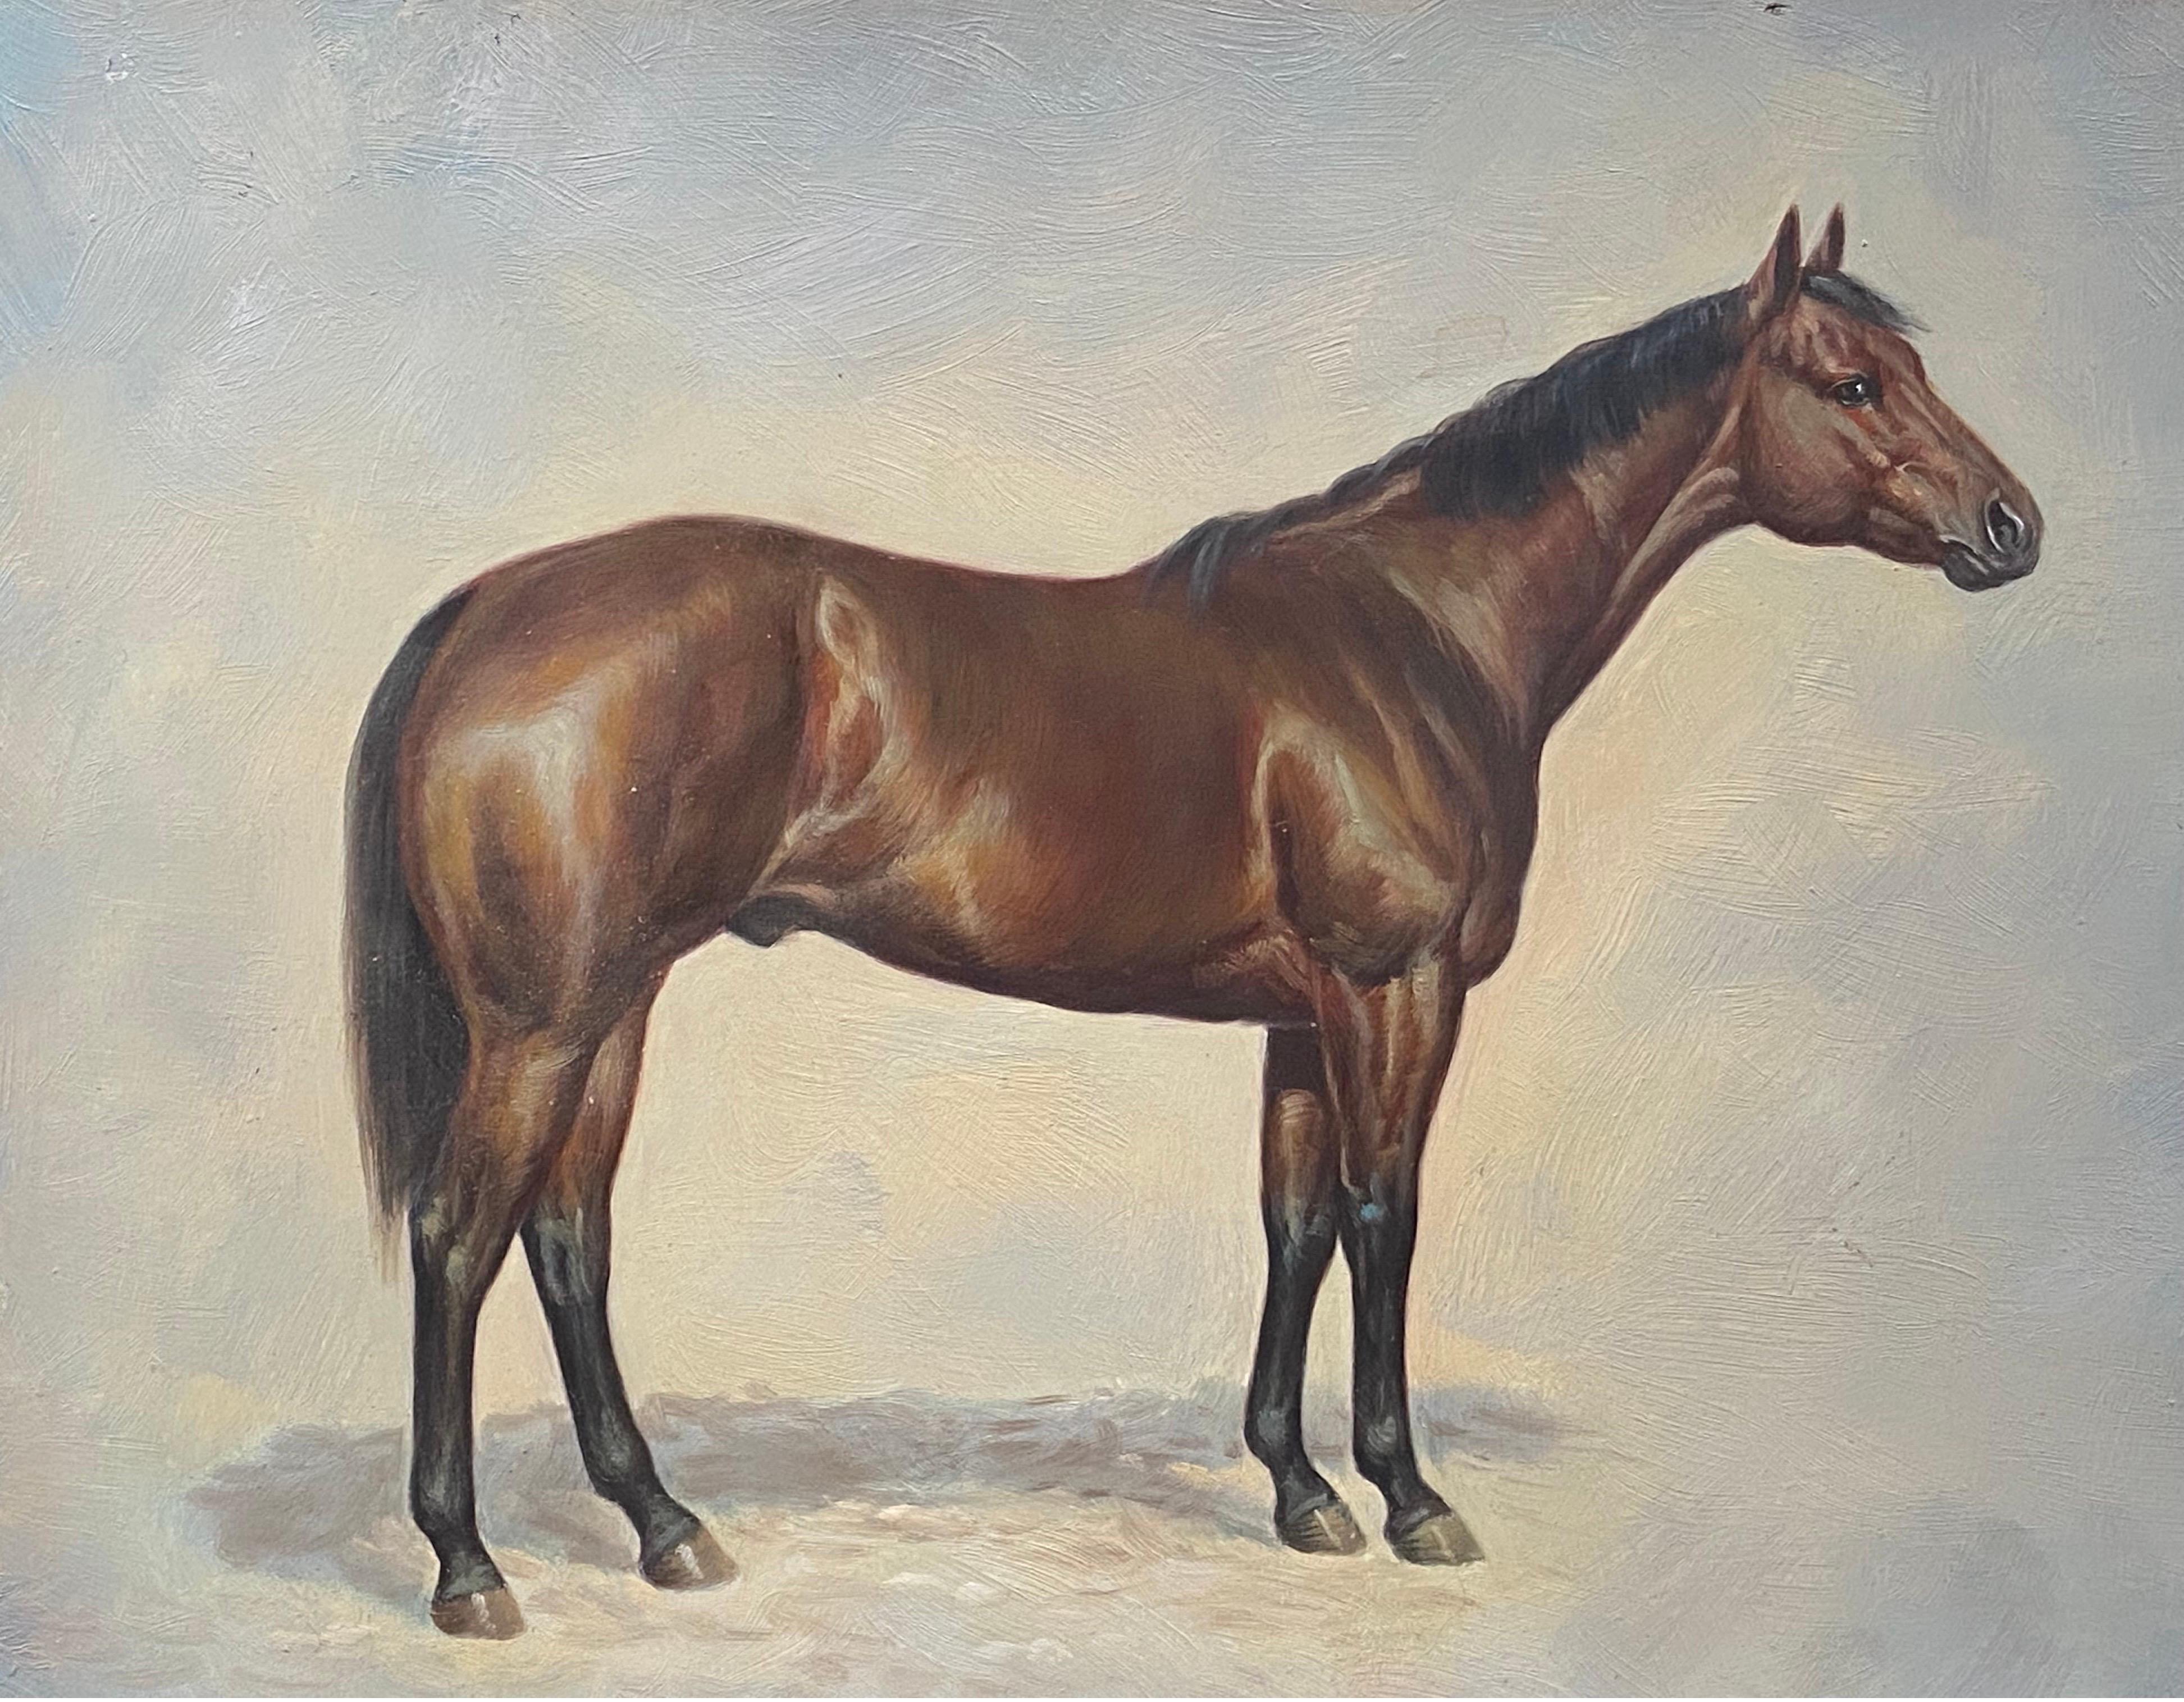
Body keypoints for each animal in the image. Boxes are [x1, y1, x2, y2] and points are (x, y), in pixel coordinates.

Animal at [345, 205, 2041, 1637]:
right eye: (1851, 381)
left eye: (1910, 367)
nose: (2011, 524)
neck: (1414, 632)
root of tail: (488, 609)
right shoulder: (1393, 987)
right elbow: (1384, 1215)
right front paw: (1410, 1497)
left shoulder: (1301, 1011)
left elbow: (1294, 1223)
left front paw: (1300, 1492)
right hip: (543, 1020)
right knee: (459, 1235)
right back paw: (470, 1567)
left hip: (613, 1003)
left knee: (567, 1235)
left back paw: (665, 1524)